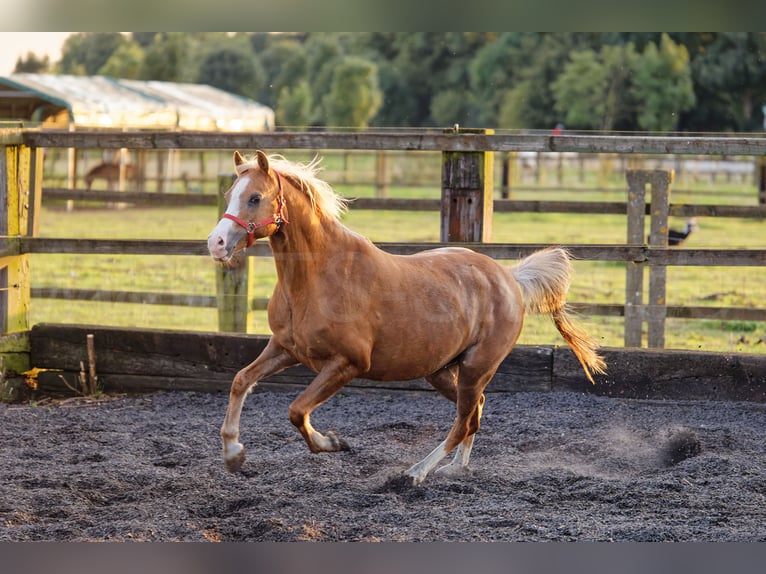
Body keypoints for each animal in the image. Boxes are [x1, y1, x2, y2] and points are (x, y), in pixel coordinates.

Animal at [207, 152, 608, 486]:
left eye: (255, 197)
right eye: (229, 193)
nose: (216, 243)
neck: (318, 277)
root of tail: (509, 278)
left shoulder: (347, 363)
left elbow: (296, 410)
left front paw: (335, 442)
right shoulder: (285, 348)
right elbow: (241, 381)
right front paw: (233, 455)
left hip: (477, 368)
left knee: (464, 420)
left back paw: (416, 473)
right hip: (443, 371)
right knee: (475, 413)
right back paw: (455, 468)